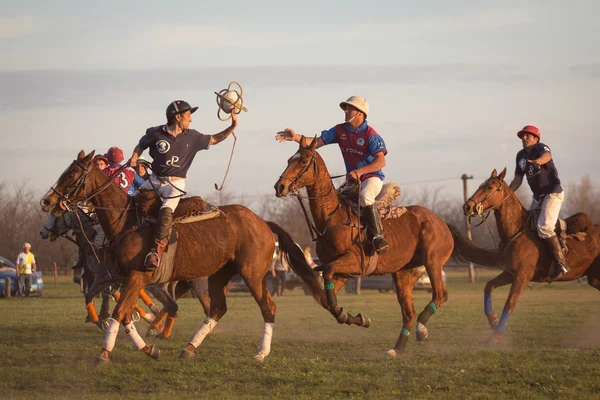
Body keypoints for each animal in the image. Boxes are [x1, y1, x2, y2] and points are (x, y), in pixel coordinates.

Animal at [39, 151, 326, 366]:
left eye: (72, 174)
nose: (47, 201)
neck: (126, 223)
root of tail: (263, 222)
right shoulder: (120, 279)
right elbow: (122, 312)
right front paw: (148, 346)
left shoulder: (136, 278)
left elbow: (121, 312)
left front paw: (104, 353)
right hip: (219, 275)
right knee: (216, 308)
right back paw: (189, 347)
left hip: (252, 275)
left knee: (268, 307)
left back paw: (260, 353)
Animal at [274, 138, 462, 356]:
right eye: (290, 160)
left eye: (303, 161)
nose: (280, 186)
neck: (333, 218)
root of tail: (443, 222)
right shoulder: (342, 272)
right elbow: (327, 300)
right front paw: (357, 318)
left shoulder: (354, 262)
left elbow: (327, 276)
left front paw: (351, 316)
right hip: (404, 272)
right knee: (409, 311)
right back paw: (397, 349)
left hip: (433, 261)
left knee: (440, 295)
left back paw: (421, 329)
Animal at [464, 168, 600, 340]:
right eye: (480, 185)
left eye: (489, 187)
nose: (467, 206)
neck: (516, 231)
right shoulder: (511, 273)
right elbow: (489, 286)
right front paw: (493, 320)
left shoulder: (523, 275)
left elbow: (509, 304)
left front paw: (495, 336)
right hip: (594, 278)